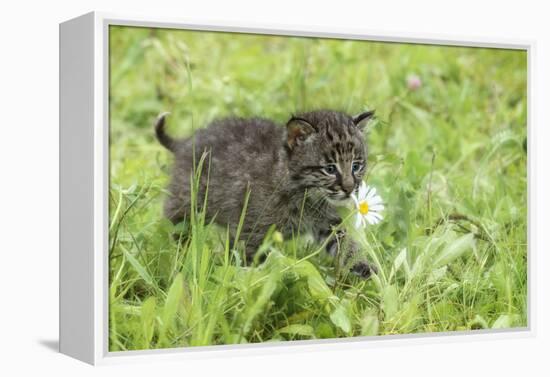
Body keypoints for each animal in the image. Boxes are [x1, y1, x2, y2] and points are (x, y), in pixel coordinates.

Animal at [157, 108, 378, 276]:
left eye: (356, 166)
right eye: (330, 169)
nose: (349, 188)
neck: (306, 196)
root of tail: (186, 141)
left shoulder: (330, 223)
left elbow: (347, 243)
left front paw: (365, 266)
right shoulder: (251, 231)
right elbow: (248, 262)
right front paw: (248, 283)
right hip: (187, 202)